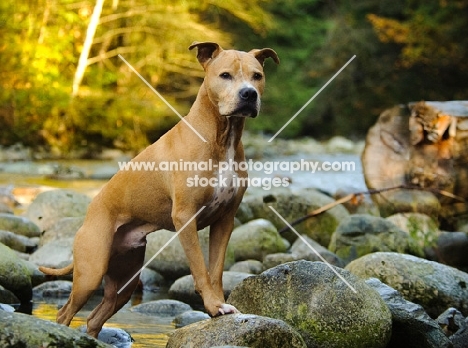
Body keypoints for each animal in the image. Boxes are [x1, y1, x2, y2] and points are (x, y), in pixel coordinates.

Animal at [39, 40, 278, 338]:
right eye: (225, 75)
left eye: (257, 76)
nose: (248, 94)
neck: (222, 136)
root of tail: (90, 211)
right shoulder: (185, 217)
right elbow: (200, 269)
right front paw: (214, 306)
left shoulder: (225, 220)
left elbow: (216, 270)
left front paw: (220, 304)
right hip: (91, 272)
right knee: (65, 313)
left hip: (125, 282)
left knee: (95, 318)